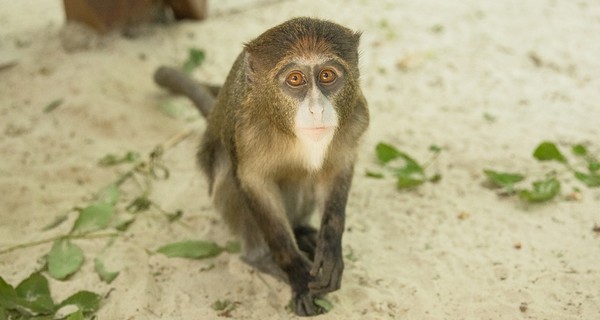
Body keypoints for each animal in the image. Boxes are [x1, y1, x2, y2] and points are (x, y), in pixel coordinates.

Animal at [155, 16, 368, 316]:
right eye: (295, 79)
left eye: (327, 75)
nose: (317, 110)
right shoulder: (245, 131)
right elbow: (254, 184)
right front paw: (297, 273)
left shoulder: (355, 116)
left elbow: (335, 171)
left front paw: (330, 248)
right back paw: (262, 258)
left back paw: (302, 231)